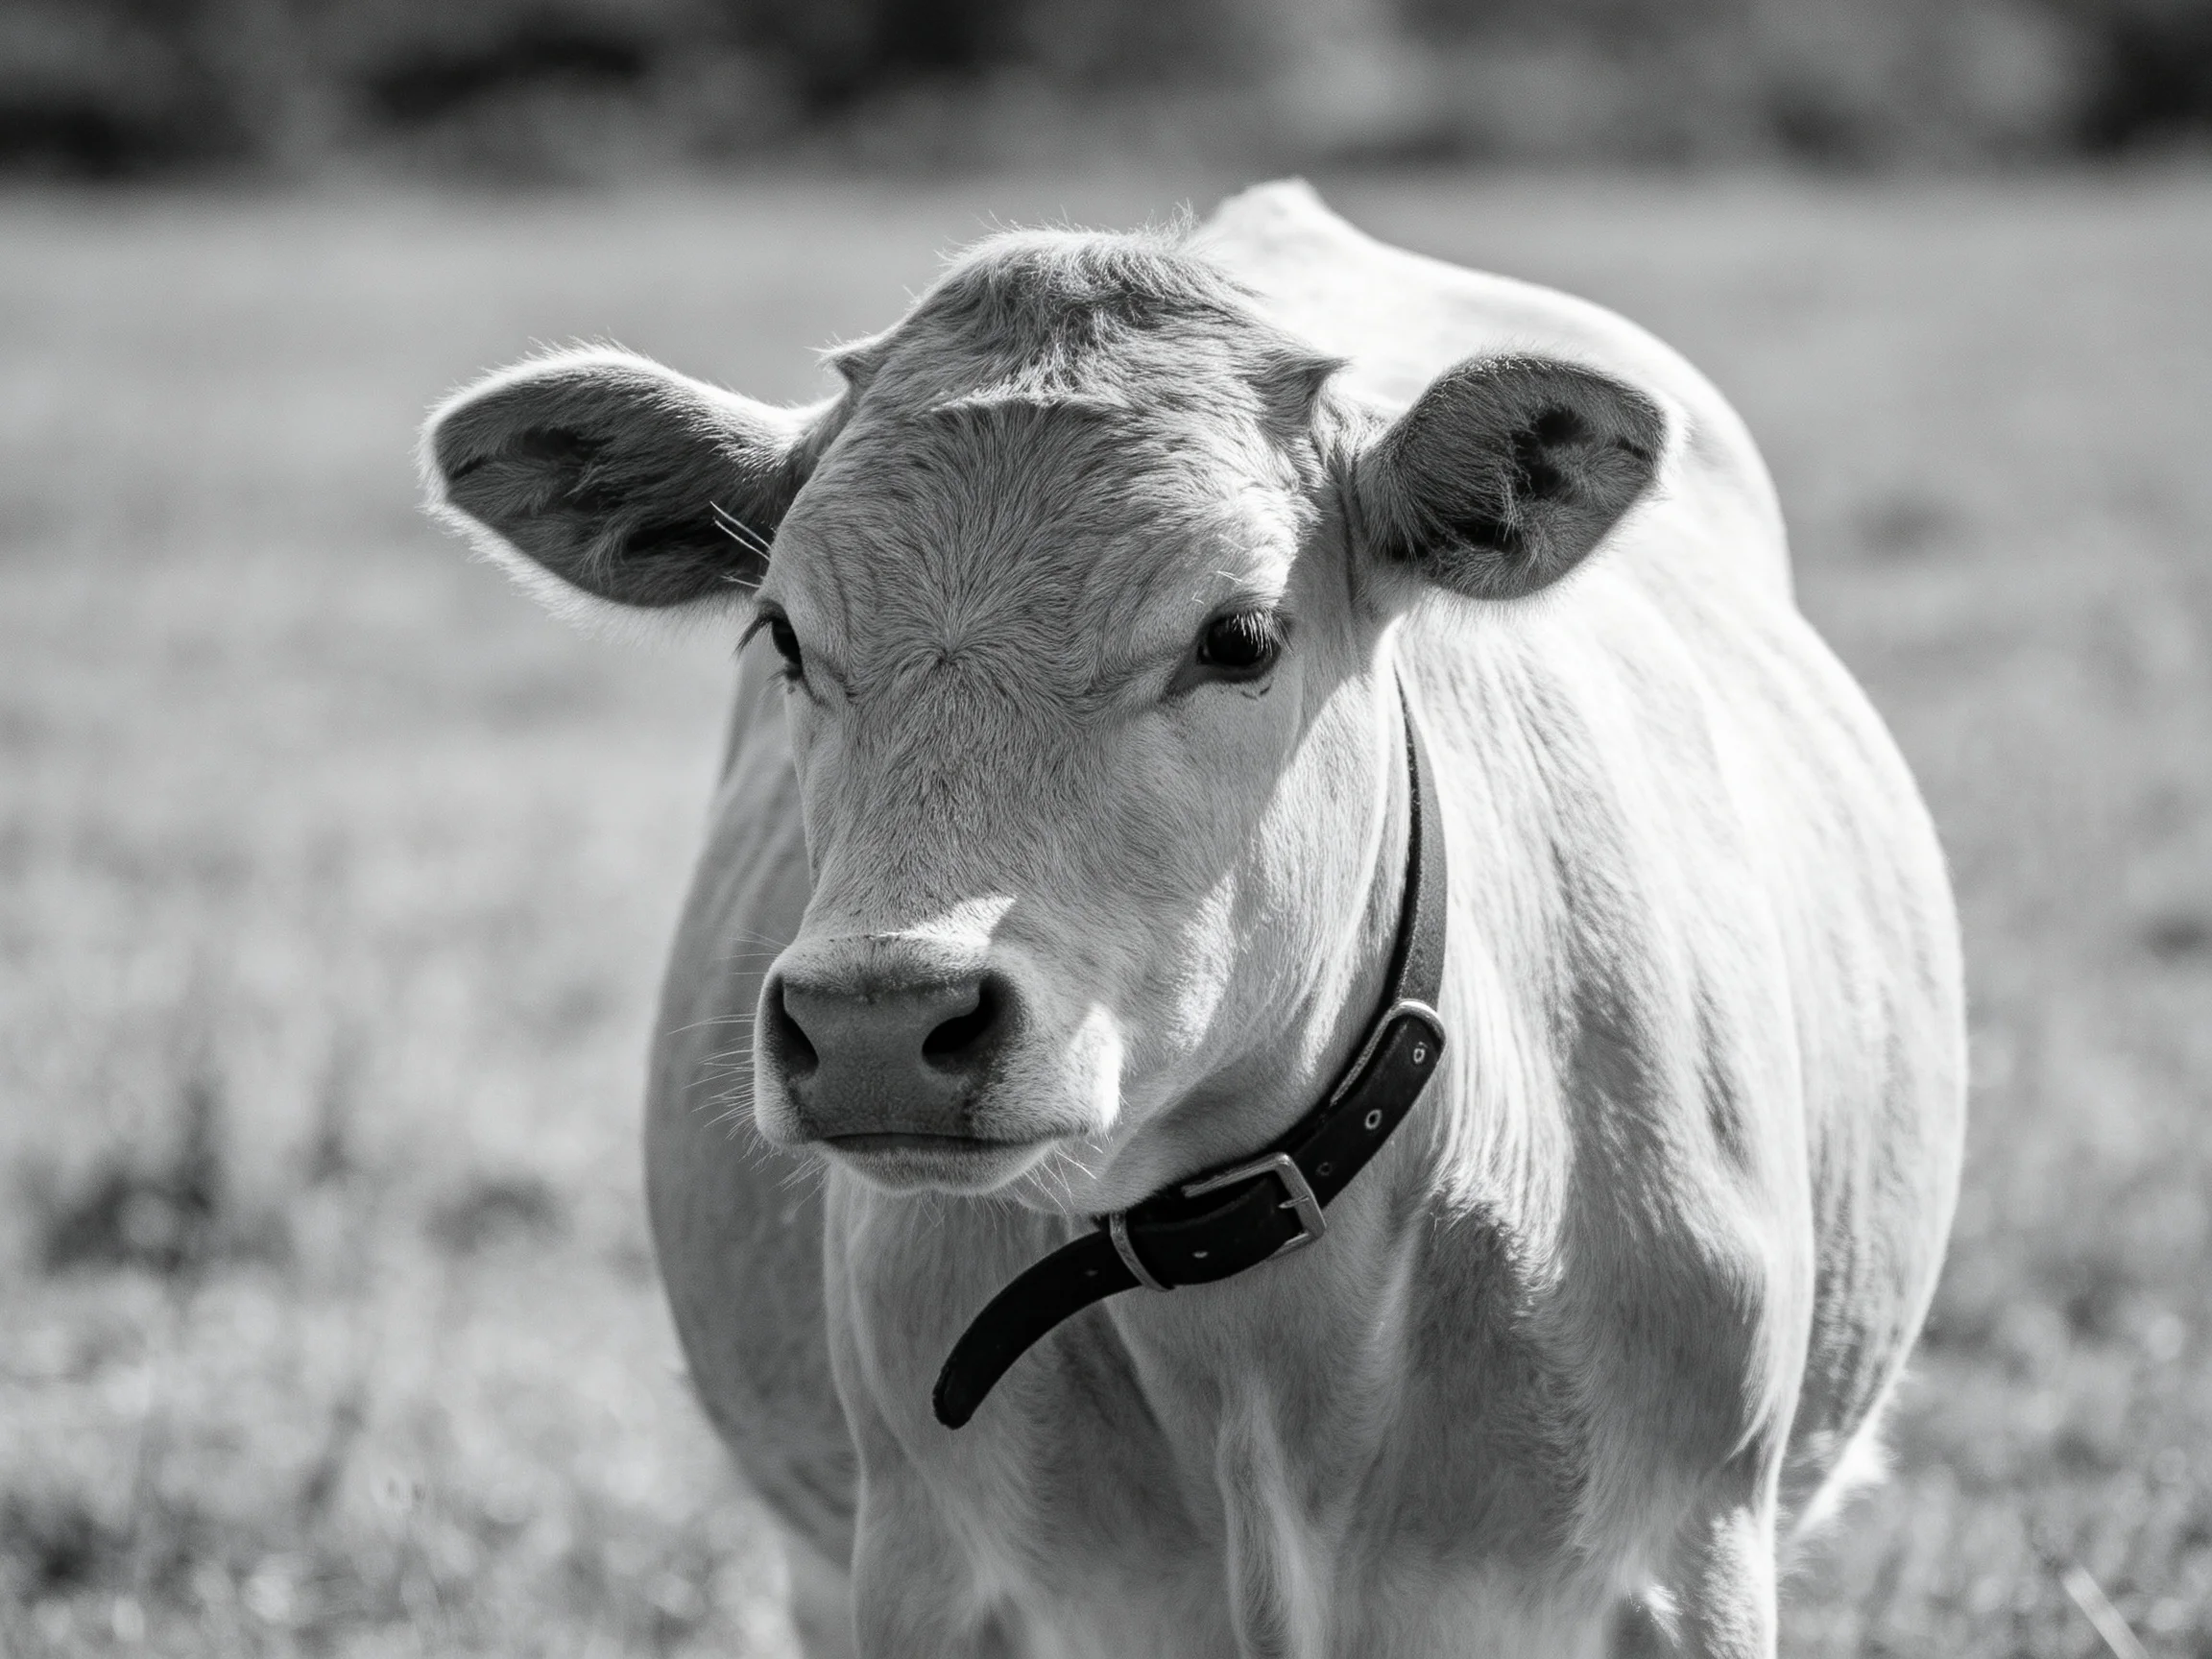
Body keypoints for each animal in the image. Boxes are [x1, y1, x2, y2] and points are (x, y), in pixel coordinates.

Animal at [422, 181, 1964, 1658]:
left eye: (1238, 637)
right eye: (782, 636)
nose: (876, 1021)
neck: (1254, 1336)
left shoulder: (1690, 1557)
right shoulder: (922, 1568)